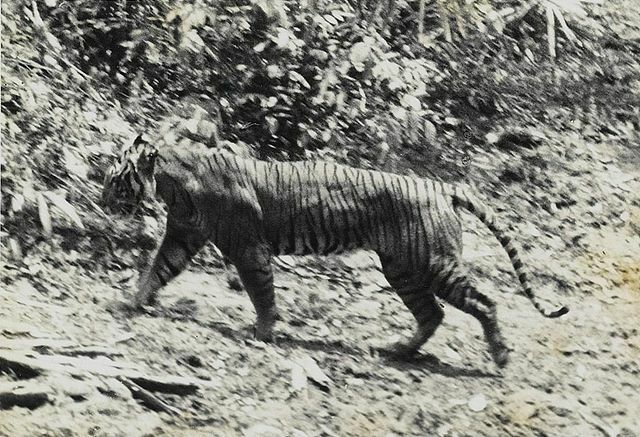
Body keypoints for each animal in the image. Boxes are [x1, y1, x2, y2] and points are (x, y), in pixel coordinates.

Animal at [102, 135, 568, 368]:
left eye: (114, 178)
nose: (102, 199)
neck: (172, 184)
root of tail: (439, 185)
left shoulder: (248, 248)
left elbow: (261, 292)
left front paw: (263, 333)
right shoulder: (182, 236)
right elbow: (157, 270)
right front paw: (133, 302)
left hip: (434, 264)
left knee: (484, 302)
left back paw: (501, 356)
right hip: (402, 269)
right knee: (431, 314)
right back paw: (398, 351)